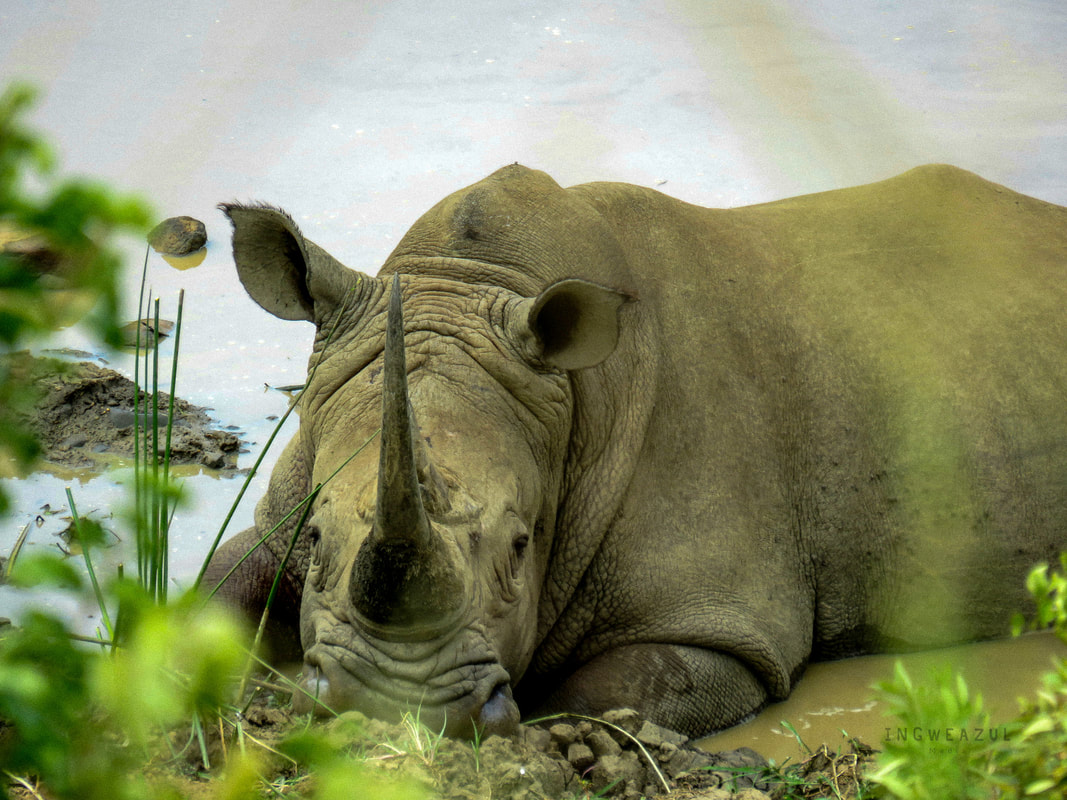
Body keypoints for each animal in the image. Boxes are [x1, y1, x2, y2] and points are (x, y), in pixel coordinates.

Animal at [204, 163, 1067, 738]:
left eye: (521, 547)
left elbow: (596, 697)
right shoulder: (285, 499)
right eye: (318, 537)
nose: (393, 711)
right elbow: (218, 583)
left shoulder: (720, 625)